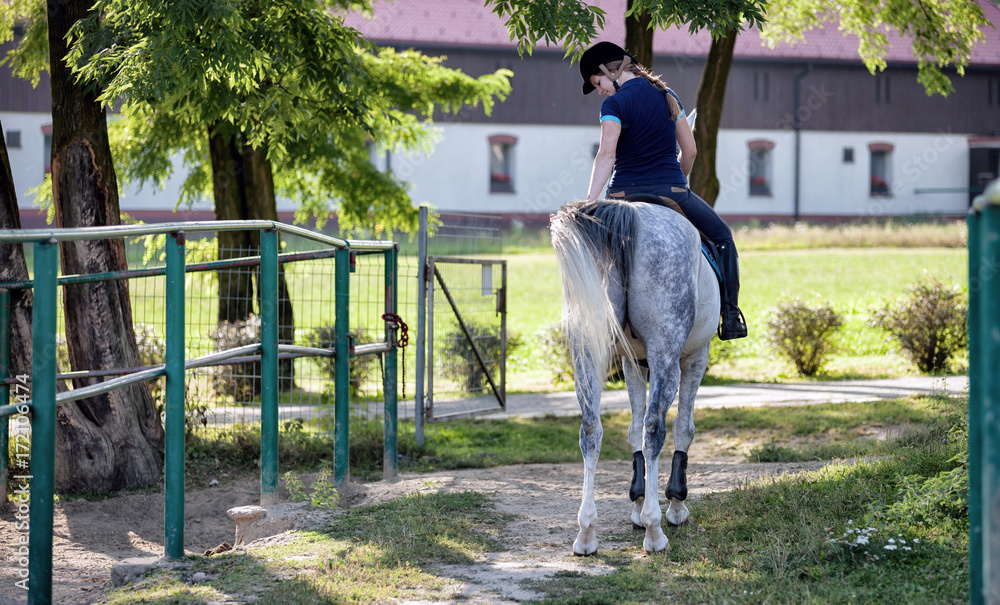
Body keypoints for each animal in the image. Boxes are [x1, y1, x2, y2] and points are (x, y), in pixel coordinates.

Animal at [552, 198, 724, 552]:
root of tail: (629, 212)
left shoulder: (632, 364)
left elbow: (632, 431)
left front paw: (637, 501)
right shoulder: (696, 357)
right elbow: (683, 427)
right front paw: (674, 505)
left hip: (588, 352)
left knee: (591, 429)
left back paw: (586, 532)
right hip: (665, 355)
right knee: (655, 428)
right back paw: (654, 530)